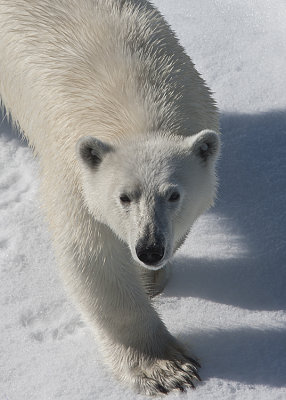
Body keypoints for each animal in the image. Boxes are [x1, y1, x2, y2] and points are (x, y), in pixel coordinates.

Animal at [0, 0, 220, 396]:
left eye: (174, 194)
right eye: (124, 197)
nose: (149, 249)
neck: (137, 105)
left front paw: (152, 279)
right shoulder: (76, 175)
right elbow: (93, 257)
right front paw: (166, 368)